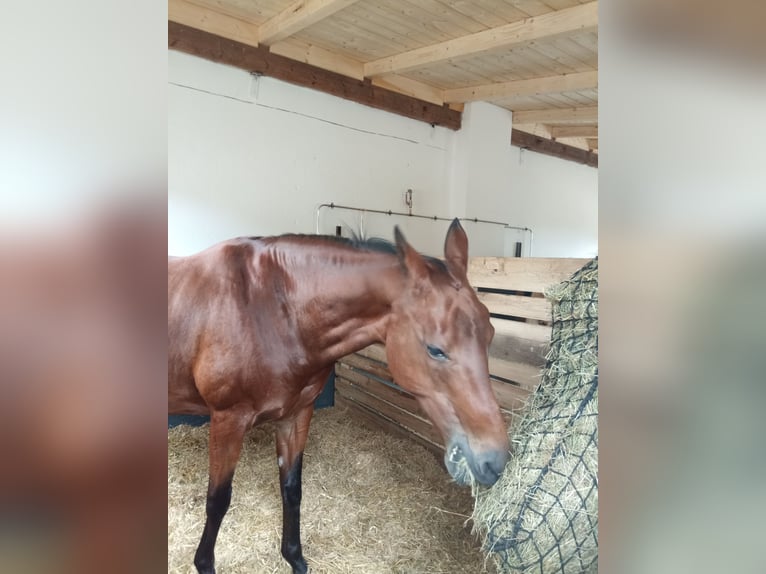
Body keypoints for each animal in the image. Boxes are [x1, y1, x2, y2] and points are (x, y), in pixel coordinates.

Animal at [171, 218, 512, 572]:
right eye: (435, 349)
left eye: (490, 334)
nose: (494, 461)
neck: (271, 310)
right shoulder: (228, 419)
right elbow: (218, 500)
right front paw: (204, 563)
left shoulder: (296, 414)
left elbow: (292, 489)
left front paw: (294, 558)